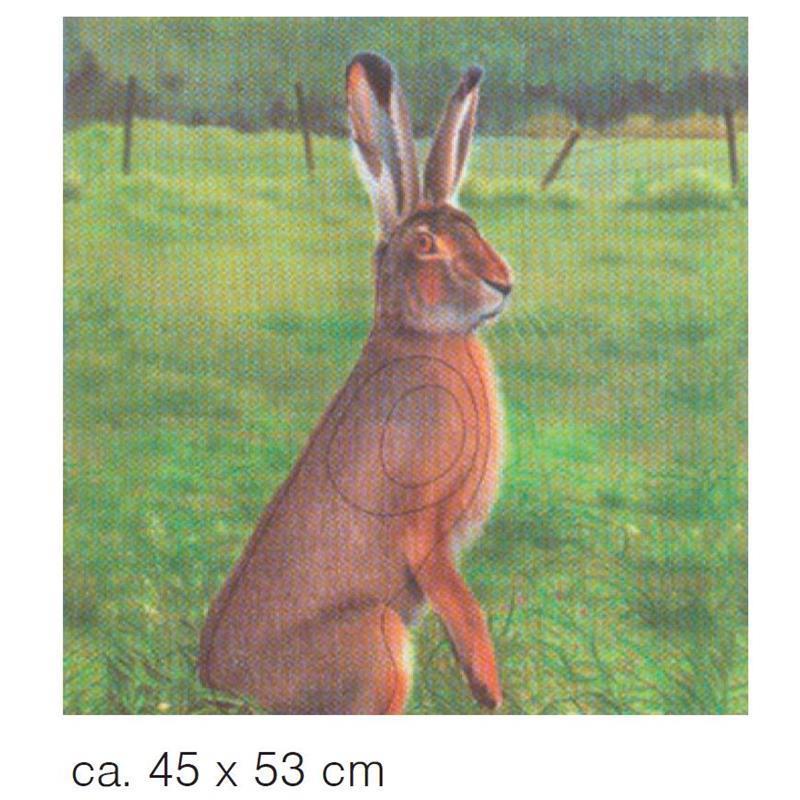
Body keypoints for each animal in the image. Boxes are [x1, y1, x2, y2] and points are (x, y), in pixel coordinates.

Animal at [198, 52, 513, 714]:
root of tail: (217, 680)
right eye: (426, 244)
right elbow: (459, 602)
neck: (422, 336)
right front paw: (488, 687)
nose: (504, 283)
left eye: (473, 225)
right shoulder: (423, 524)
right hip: (380, 640)